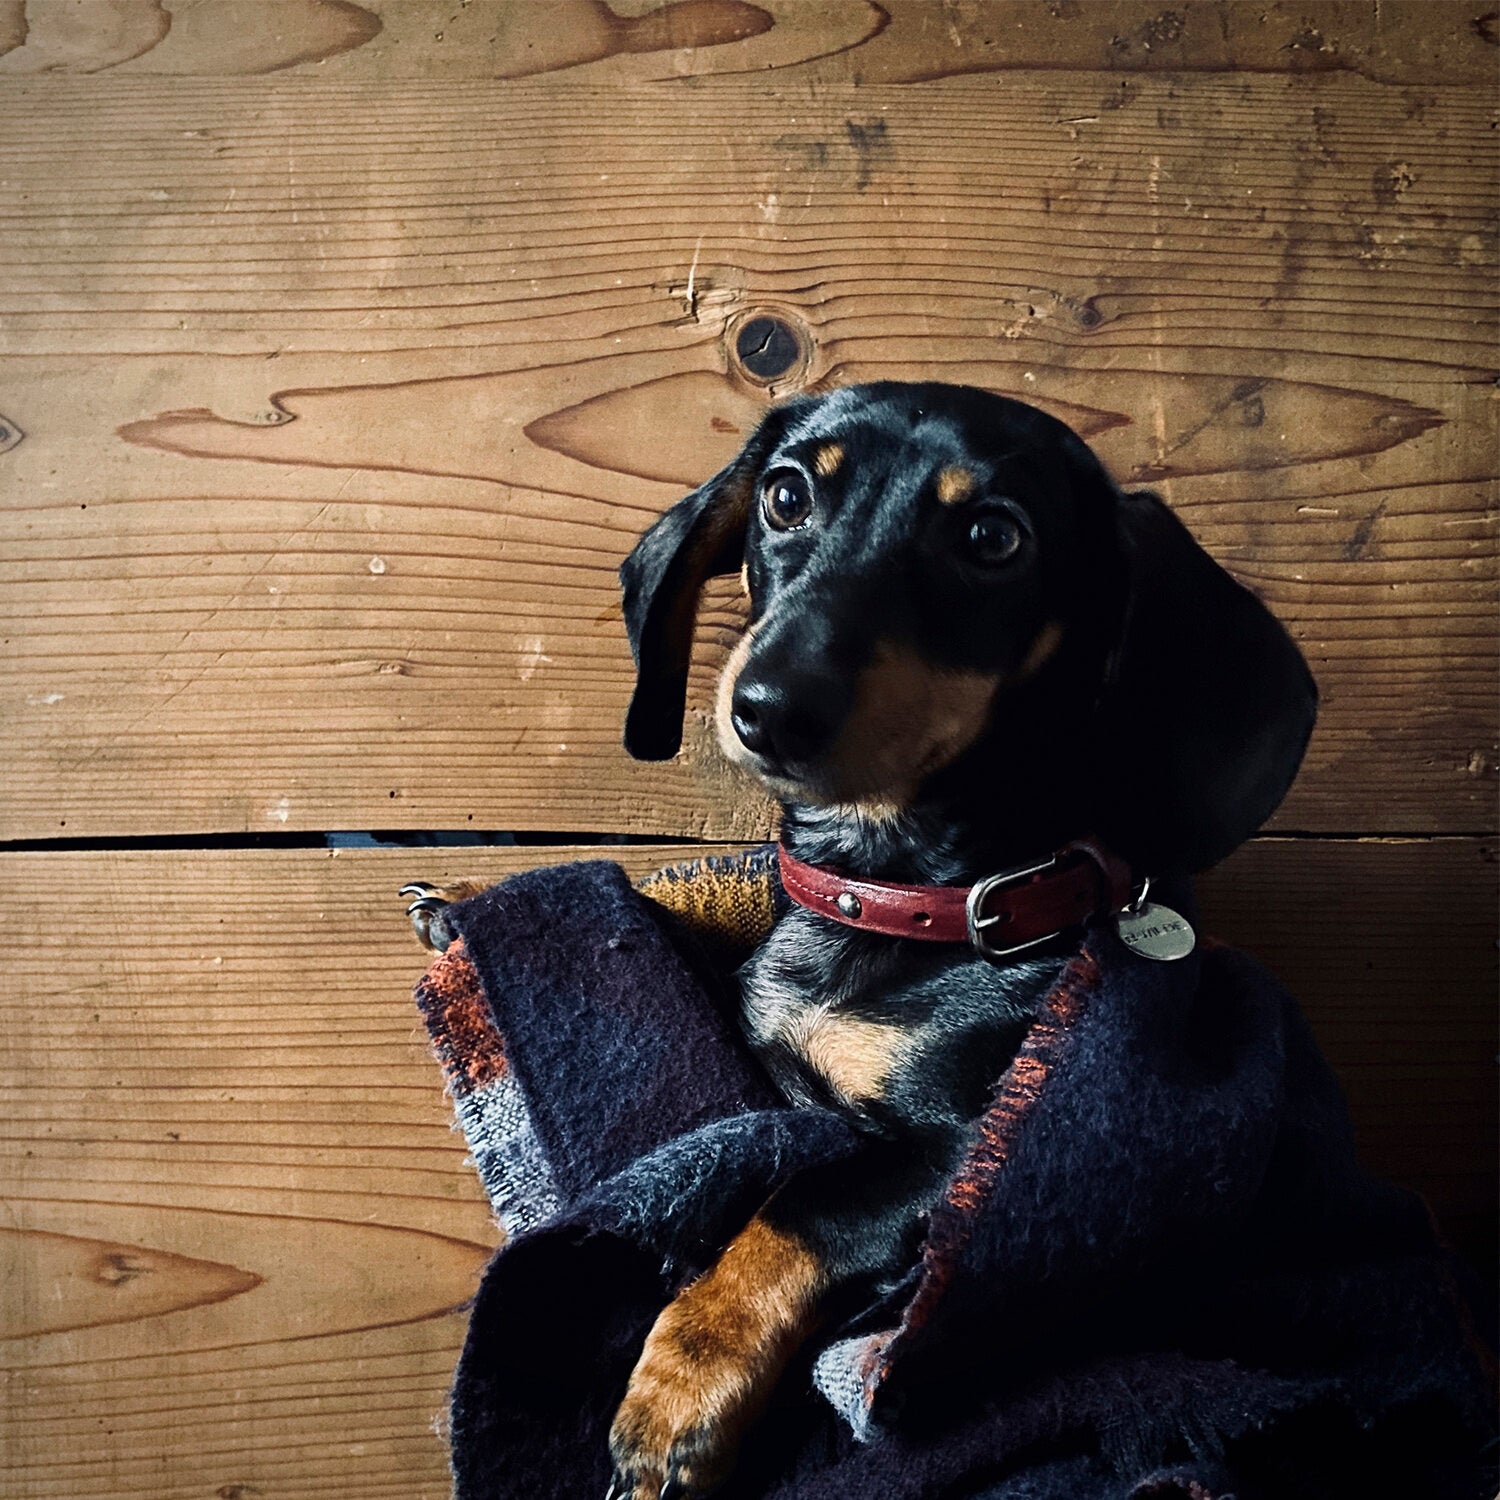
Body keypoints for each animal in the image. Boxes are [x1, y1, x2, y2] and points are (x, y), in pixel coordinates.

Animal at [408, 387, 1314, 1500]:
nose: (770, 708)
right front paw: (470, 901)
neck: (905, 896)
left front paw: (678, 1391)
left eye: (994, 538)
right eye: (785, 496)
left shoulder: (964, 1150)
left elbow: (800, 1207)